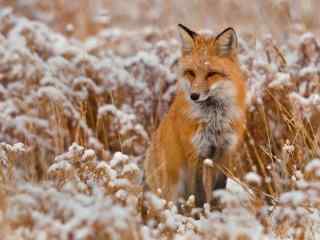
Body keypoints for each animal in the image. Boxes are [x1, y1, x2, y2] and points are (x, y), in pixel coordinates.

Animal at [144, 24, 246, 208]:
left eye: (211, 74)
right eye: (191, 73)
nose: (194, 96)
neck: (214, 119)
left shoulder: (225, 152)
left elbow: (218, 190)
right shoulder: (196, 153)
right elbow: (198, 194)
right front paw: (199, 213)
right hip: (172, 188)